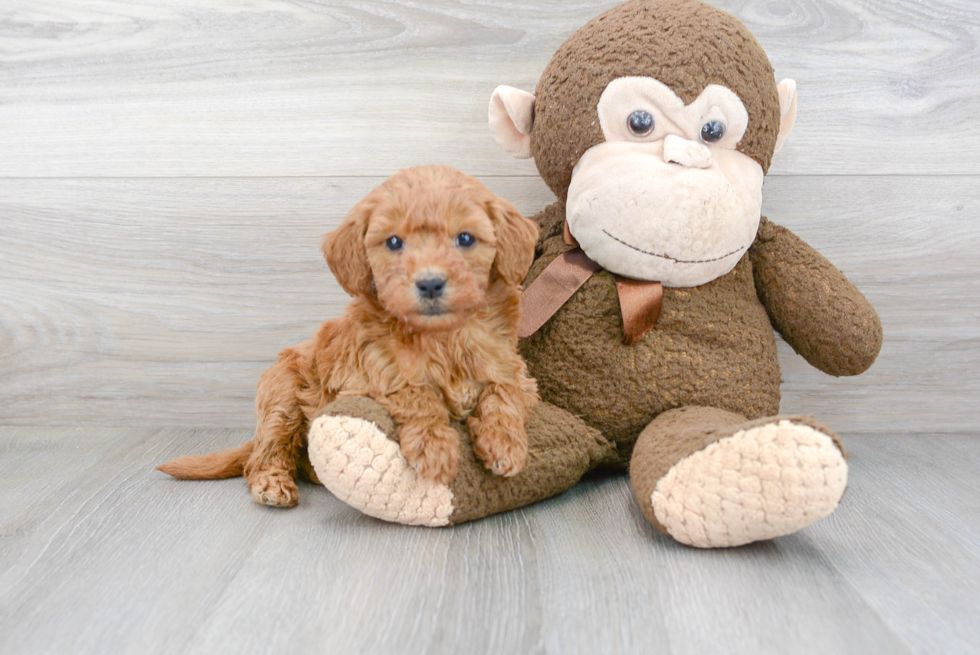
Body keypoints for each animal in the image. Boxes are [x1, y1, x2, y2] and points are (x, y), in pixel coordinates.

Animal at [162, 165, 544, 508]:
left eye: (465, 238)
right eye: (394, 242)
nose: (431, 283)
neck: (442, 338)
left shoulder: (513, 370)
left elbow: (503, 394)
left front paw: (504, 444)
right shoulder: (363, 379)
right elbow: (413, 391)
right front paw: (435, 449)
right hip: (282, 397)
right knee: (264, 454)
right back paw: (272, 484)